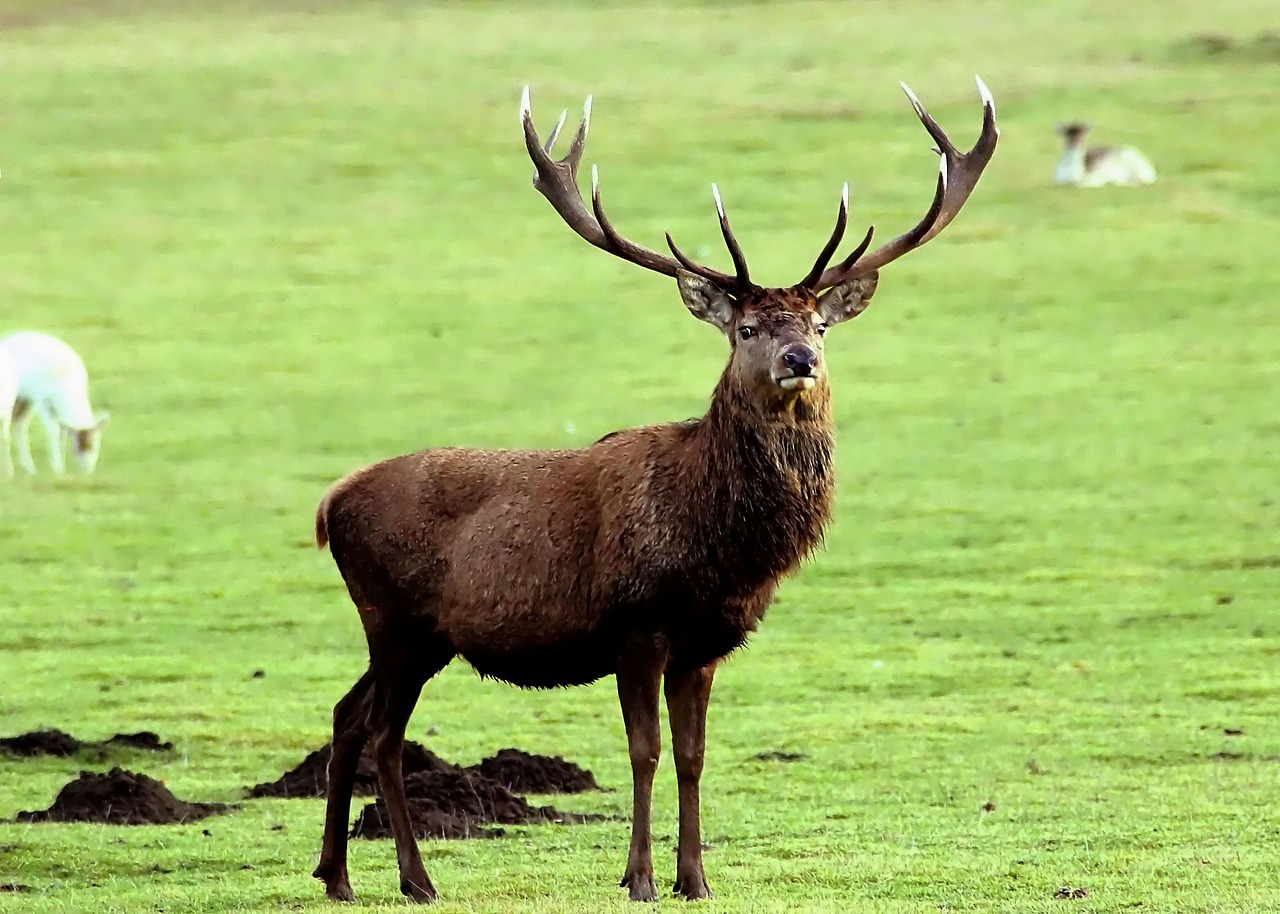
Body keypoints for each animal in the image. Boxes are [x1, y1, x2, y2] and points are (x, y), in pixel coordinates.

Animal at [0, 330, 110, 473]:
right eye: (77, 447)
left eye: (94, 446)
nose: (87, 471)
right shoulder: (42, 399)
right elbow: (54, 432)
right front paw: (57, 468)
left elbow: (62, 433)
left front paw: (61, 466)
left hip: (24, 399)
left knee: (19, 424)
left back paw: (29, 468)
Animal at [309, 80, 998, 906]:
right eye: (747, 329)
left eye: (820, 325)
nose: (799, 360)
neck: (721, 552)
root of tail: (330, 504)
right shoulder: (636, 625)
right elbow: (645, 752)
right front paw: (638, 877)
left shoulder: (708, 643)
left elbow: (695, 755)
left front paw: (695, 878)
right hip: (394, 618)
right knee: (383, 733)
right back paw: (416, 880)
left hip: (413, 633)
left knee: (348, 715)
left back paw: (336, 875)